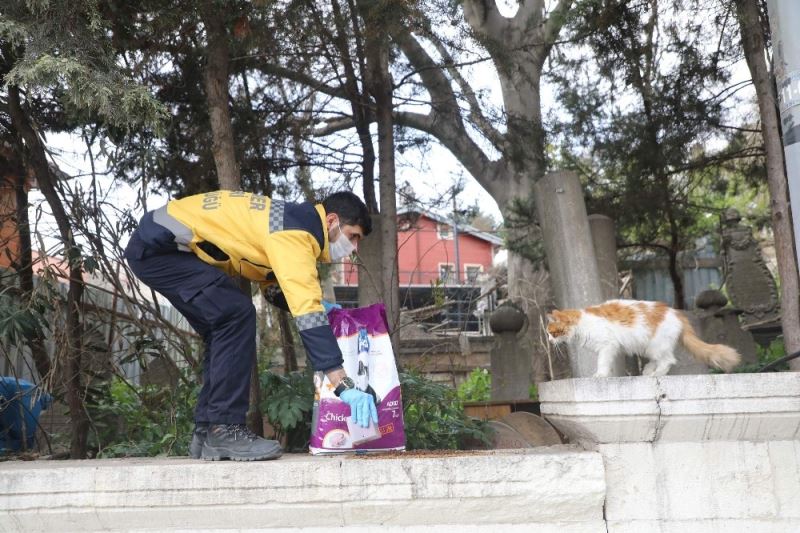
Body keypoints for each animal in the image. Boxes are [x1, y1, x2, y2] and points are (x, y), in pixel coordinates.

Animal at [548, 298, 740, 376]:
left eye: (552, 333)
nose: (549, 341)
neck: (581, 323)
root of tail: (676, 313)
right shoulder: (611, 348)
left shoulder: (607, 345)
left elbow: (602, 362)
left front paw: (600, 375)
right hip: (649, 346)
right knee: (658, 360)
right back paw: (648, 371)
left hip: (657, 345)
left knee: (668, 360)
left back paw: (656, 374)